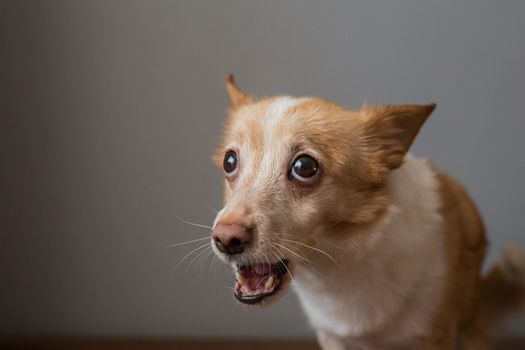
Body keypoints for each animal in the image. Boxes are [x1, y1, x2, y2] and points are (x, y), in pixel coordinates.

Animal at [209, 75, 524, 348]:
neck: (339, 260)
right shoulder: (332, 337)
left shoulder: (436, 334)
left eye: (304, 167)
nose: (226, 239)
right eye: (229, 161)